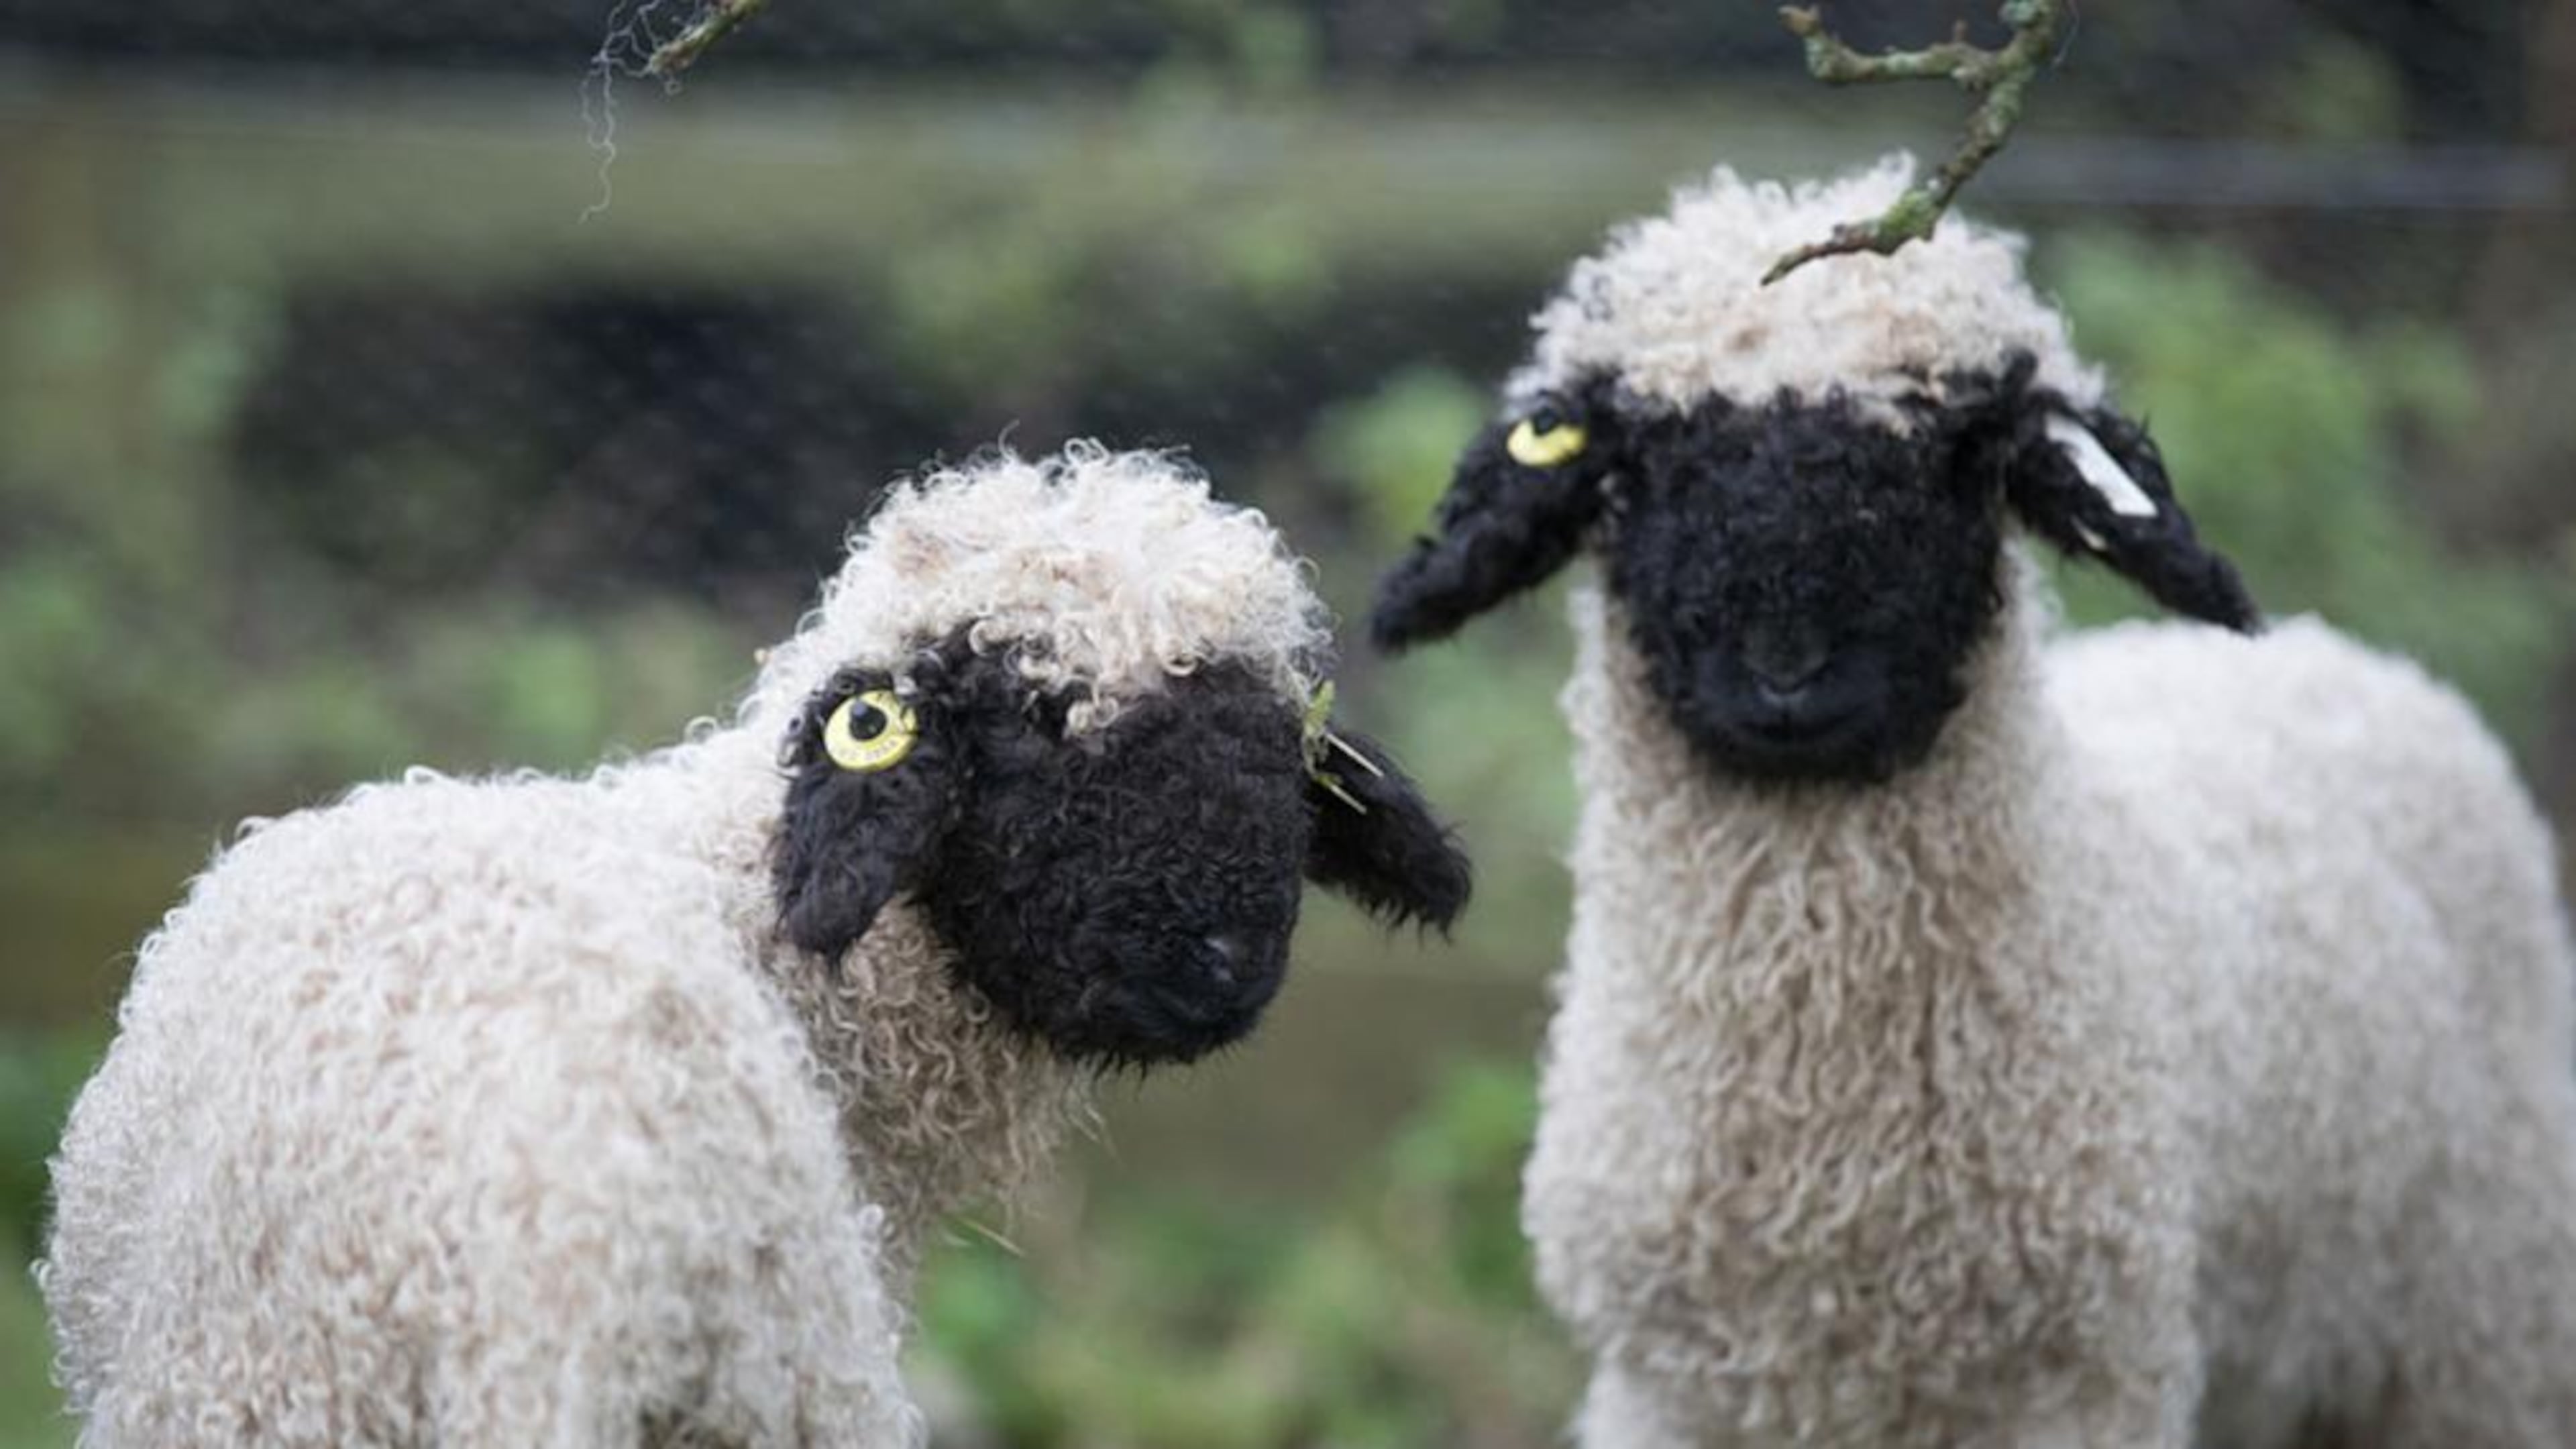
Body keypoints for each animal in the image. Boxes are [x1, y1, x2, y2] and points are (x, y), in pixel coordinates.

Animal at [1372, 157, 2576, 1448]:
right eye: (1639, 460)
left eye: (1957, 454)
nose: (1787, 670)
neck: (1822, 1137)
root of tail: (2357, 659)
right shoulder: (1672, 1389)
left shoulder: (2085, 1380)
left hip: (2485, 1328)